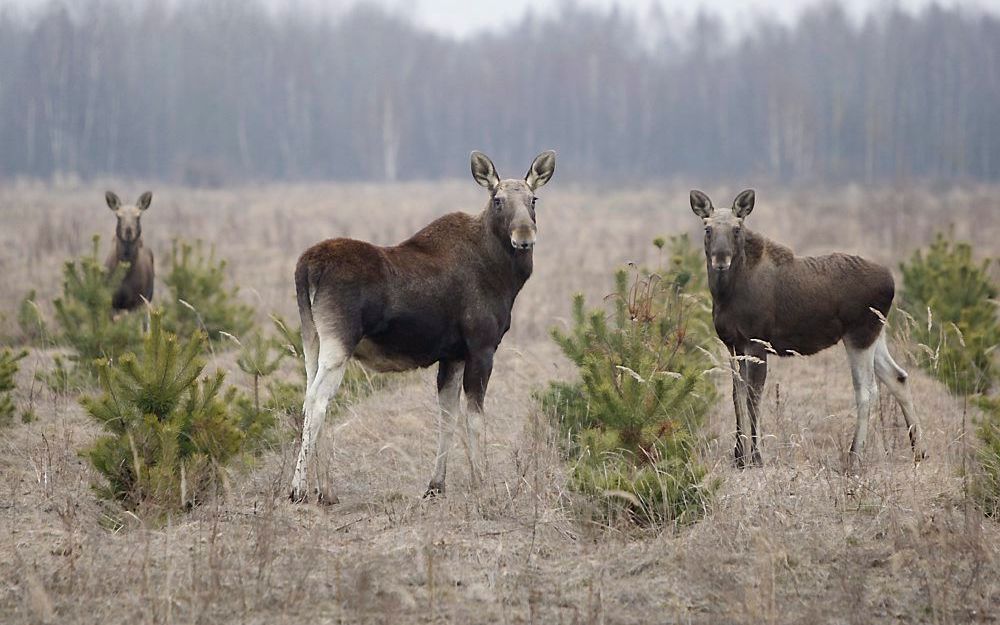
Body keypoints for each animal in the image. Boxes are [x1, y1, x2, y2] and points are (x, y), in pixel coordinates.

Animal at [290, 149, 560, 500]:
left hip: (312, 339)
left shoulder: (453, 354)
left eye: (533, 199)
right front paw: (481, 482)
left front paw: (436, 484)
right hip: (339, 341)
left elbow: (447, 416)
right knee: (317, 401)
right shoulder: (481, 346)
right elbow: (475, 418)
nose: (524, 237)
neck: (505, 276)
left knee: (309, 396)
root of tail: (307, 267)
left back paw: (324, 490)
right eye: (498, 200)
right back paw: (298, 488)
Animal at [688, 189, 928, 468]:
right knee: (898, 376)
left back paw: (854, 456)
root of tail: (892, 283)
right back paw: (919, 450)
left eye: (737, 229)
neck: (725, 294)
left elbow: (753, 399)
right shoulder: (733, 345)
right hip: (876, 334)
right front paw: (738, 458)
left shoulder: (757, 342)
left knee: (867, 390)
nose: (720, 259)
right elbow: (737, 397)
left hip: (860, 334)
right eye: (707, 228)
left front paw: (756, 458)